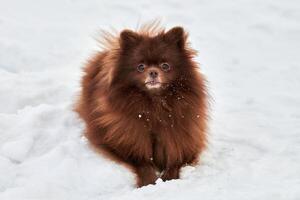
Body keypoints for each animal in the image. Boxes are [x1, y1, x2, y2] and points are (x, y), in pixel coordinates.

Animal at [75, 23, 207, 188]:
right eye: (141, 67)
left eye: (165, 66)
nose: (153, 72)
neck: (155, 104)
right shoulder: (125, 140)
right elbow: (143, 162)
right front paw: (148, 182)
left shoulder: (182, 140)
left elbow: (175, 161)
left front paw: (169, 178)